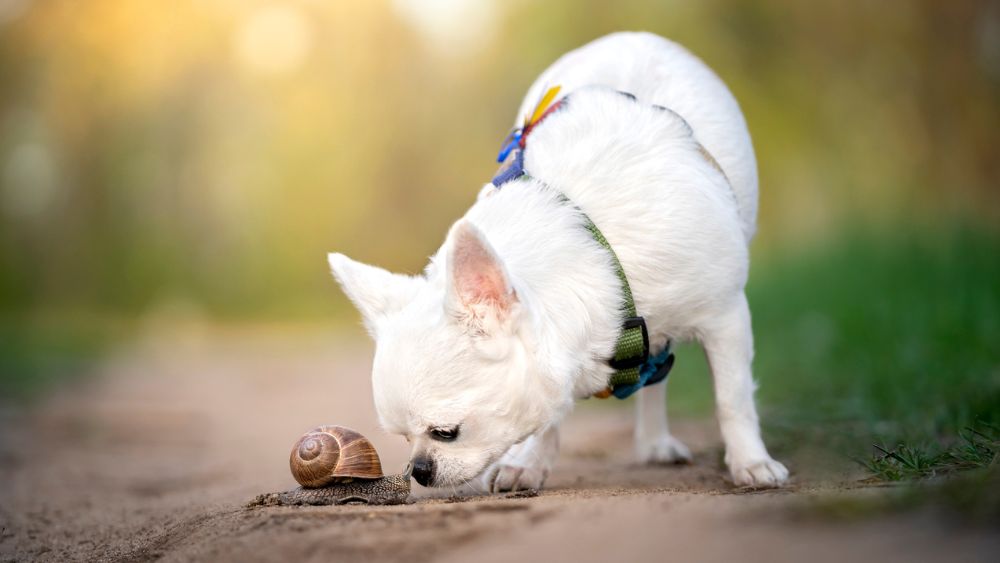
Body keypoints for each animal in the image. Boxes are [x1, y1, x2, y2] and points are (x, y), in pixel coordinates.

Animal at [328, 30, 788, 492]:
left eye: (446, 433)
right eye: (404, 438)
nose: (420, 470)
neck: (603, 249)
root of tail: (631, 35)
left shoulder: (726, 316)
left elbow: (732, 397)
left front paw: (751, 461)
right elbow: (546, 413)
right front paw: (528, 463)